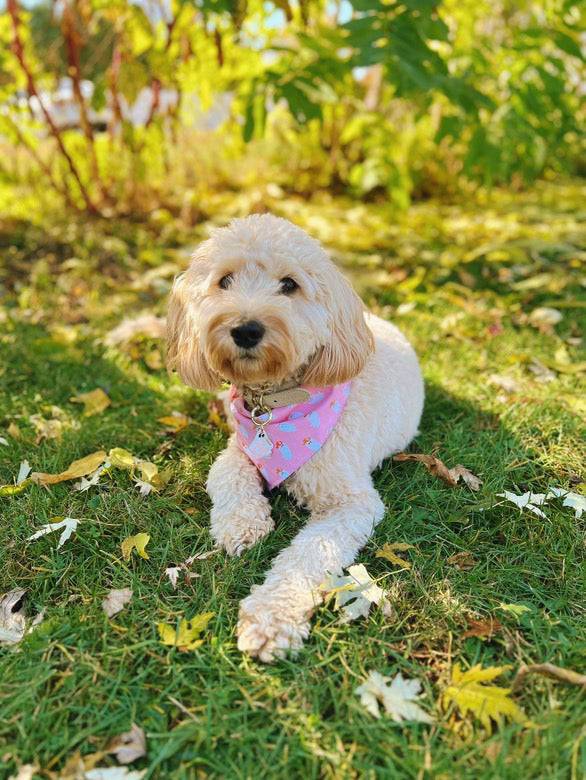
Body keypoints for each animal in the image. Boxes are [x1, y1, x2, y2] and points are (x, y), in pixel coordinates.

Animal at [167, 216, 422, 660]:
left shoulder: (351, 503)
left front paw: (271, 617)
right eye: (225, 280)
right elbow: (227, 475)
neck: (277, 402)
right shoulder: (237, 447)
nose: (245, 329)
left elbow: (308, 555)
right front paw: (242, 524)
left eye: (289, 285)